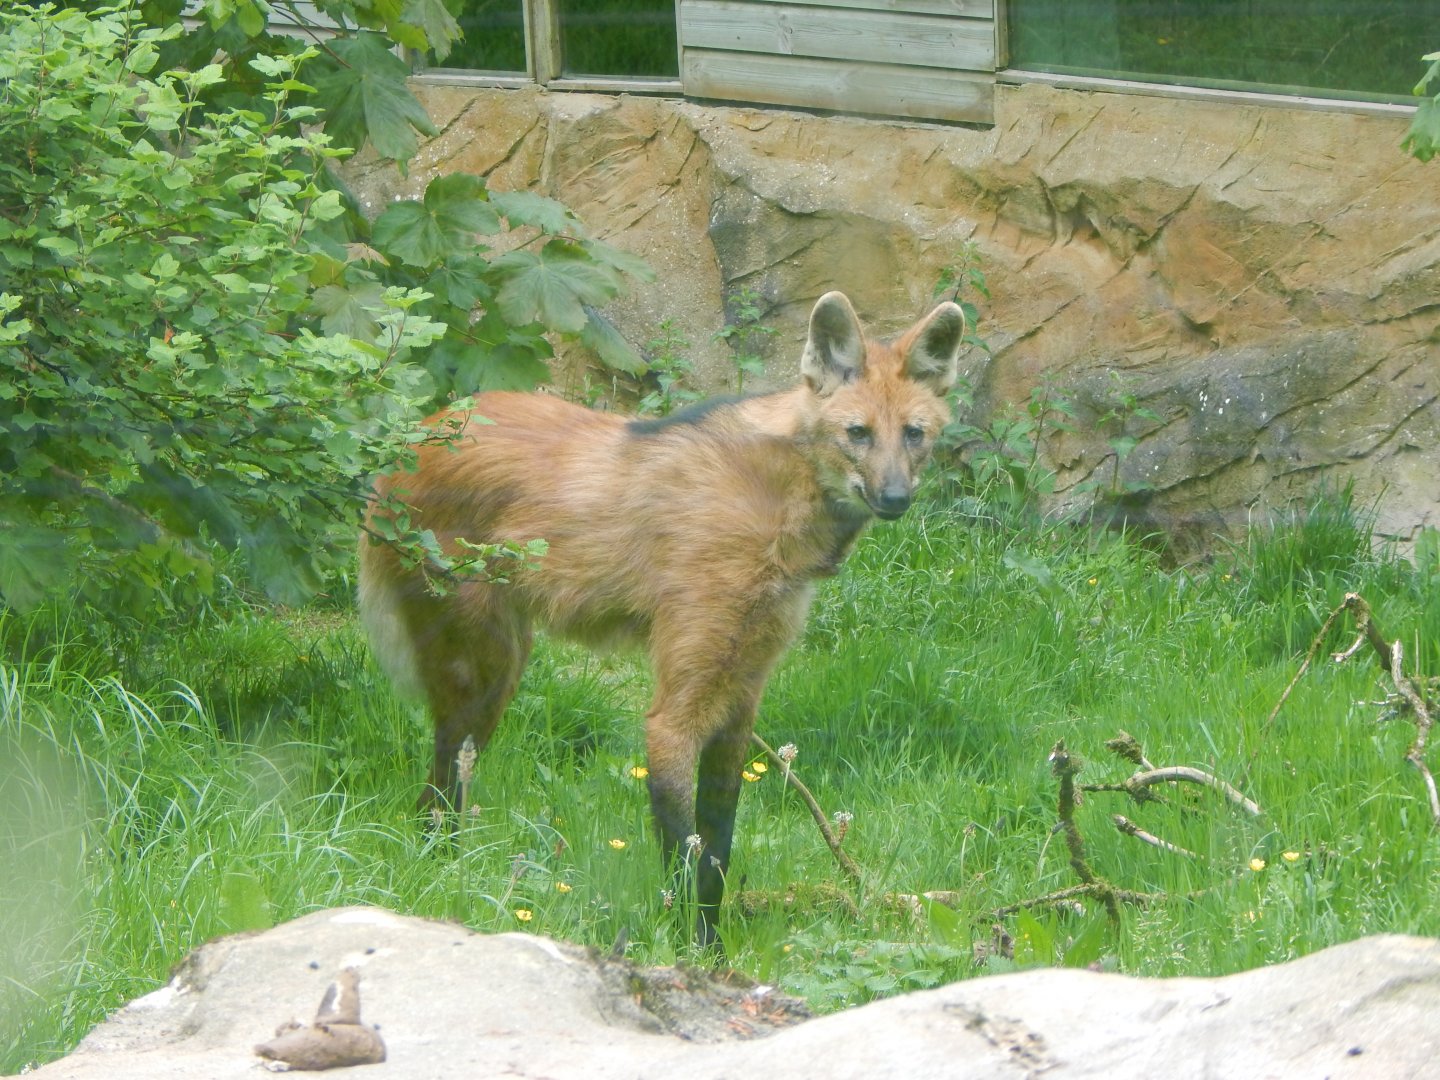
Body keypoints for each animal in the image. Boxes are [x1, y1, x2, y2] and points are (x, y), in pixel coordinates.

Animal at [358, 291, 966, 948]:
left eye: (914, 435)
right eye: (857, 433)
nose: (895, 498)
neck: (778, 502)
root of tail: (415, 439)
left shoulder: (742, 694)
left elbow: (719, 843)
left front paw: (714, 944)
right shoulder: (676, 710)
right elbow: (685, 846)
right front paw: (691, 948)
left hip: (503, 667)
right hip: (482, 661)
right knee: (444, 772)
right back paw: (441, 875)